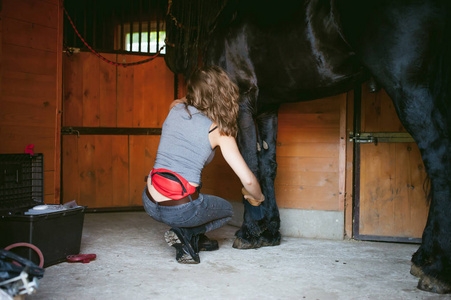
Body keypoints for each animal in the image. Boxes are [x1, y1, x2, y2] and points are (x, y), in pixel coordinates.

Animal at [164, 0, 450, 292]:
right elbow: (267, 165)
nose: (170, 54)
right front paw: (269, 231)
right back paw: (424, 256)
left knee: (439, 159)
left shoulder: (241, 100)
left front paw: (250, 231)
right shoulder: (267, 108)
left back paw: (437, 268)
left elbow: (248, 164)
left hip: (410, 88)